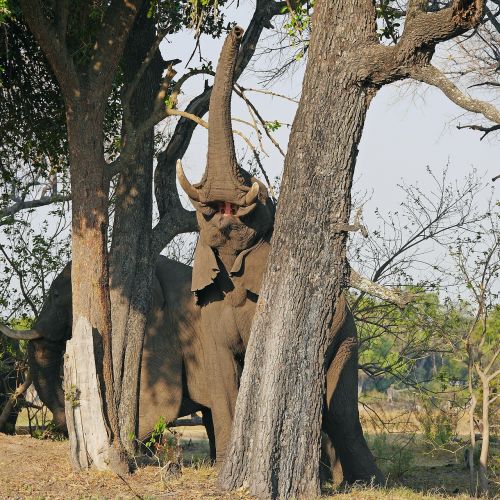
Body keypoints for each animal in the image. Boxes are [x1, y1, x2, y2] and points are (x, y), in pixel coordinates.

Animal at [176, 24, 382, 484]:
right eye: (203, 213)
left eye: (258, 197)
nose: (236, 28)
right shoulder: (209, 309)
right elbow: (221, 372)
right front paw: (224, 468)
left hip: (347, 339)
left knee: (340, 411)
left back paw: (365, 481)